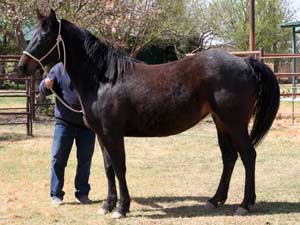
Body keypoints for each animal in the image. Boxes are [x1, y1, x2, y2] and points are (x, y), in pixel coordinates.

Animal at [18, 8, 282, 218]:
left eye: (45, 37)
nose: (21, 67)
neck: (104, 79)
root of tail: (246, 62)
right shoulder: (102, 136)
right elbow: (108, 168)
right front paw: (107, 205)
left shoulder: (113, 134)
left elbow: (120, 167)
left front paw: (121, 208)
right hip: (221, 122)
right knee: (229, 157)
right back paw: (215, 200)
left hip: (235, 123)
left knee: (248, 155)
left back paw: (245, 204)